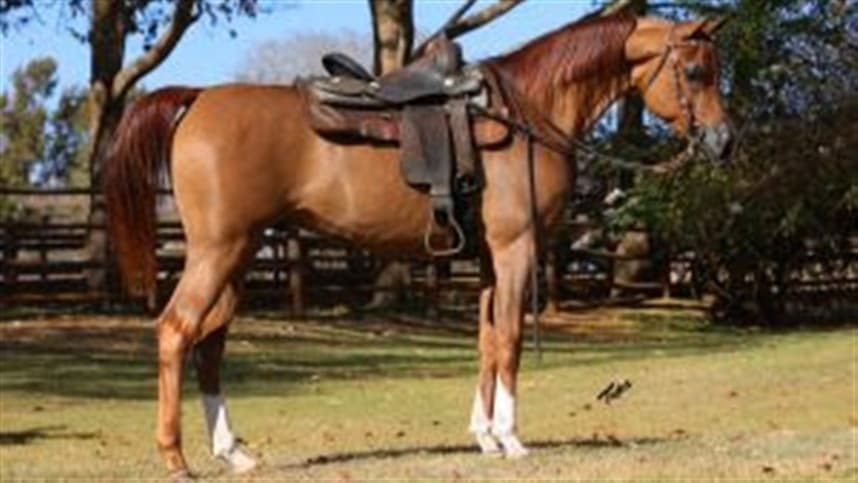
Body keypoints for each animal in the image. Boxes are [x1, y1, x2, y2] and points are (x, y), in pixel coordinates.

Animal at [104, 11, 732, 477]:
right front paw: (511, 438)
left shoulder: (489, 259)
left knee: (210, 343)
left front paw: (484, 437)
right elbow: (510, 339)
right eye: (696, 71)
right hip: (218, 251)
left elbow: (486, 341)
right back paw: (175, 457)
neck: (531, 111)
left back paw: (234, 452)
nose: (724, 142)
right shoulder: (516, 248)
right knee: (177, 331)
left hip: (239, 254)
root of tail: (196, 96)